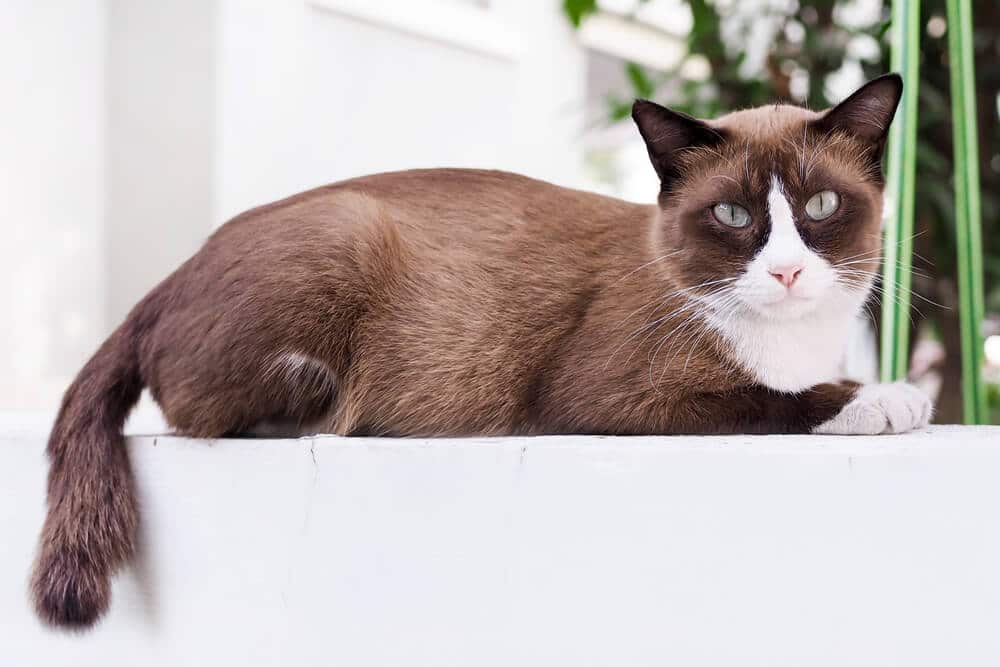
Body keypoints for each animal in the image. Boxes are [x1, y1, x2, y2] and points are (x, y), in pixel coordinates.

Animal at [35, 74, 932, 632]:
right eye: (736, 216)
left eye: (822, 206)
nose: (785, 270)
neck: (788, 333)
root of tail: (167, 277)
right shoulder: (606, 394)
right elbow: (773, 397)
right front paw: (883, 397)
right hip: (347, 232)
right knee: (236, 416)